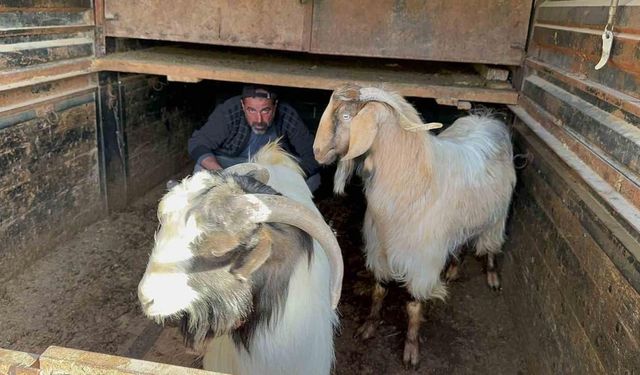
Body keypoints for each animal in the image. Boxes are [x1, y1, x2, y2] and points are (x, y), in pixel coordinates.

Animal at [312, 84, 516, 368]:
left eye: (345, 116)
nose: (317, 151)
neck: (413, 182)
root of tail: (487, 119)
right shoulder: (380, 249)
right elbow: (378, 291)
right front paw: (369, 327)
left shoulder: (422, 263)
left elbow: (413, 306)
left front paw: (411, 350)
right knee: (462, 242)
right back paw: (454, 269)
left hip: (497, 216)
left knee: (491, 245)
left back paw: (493, 275)